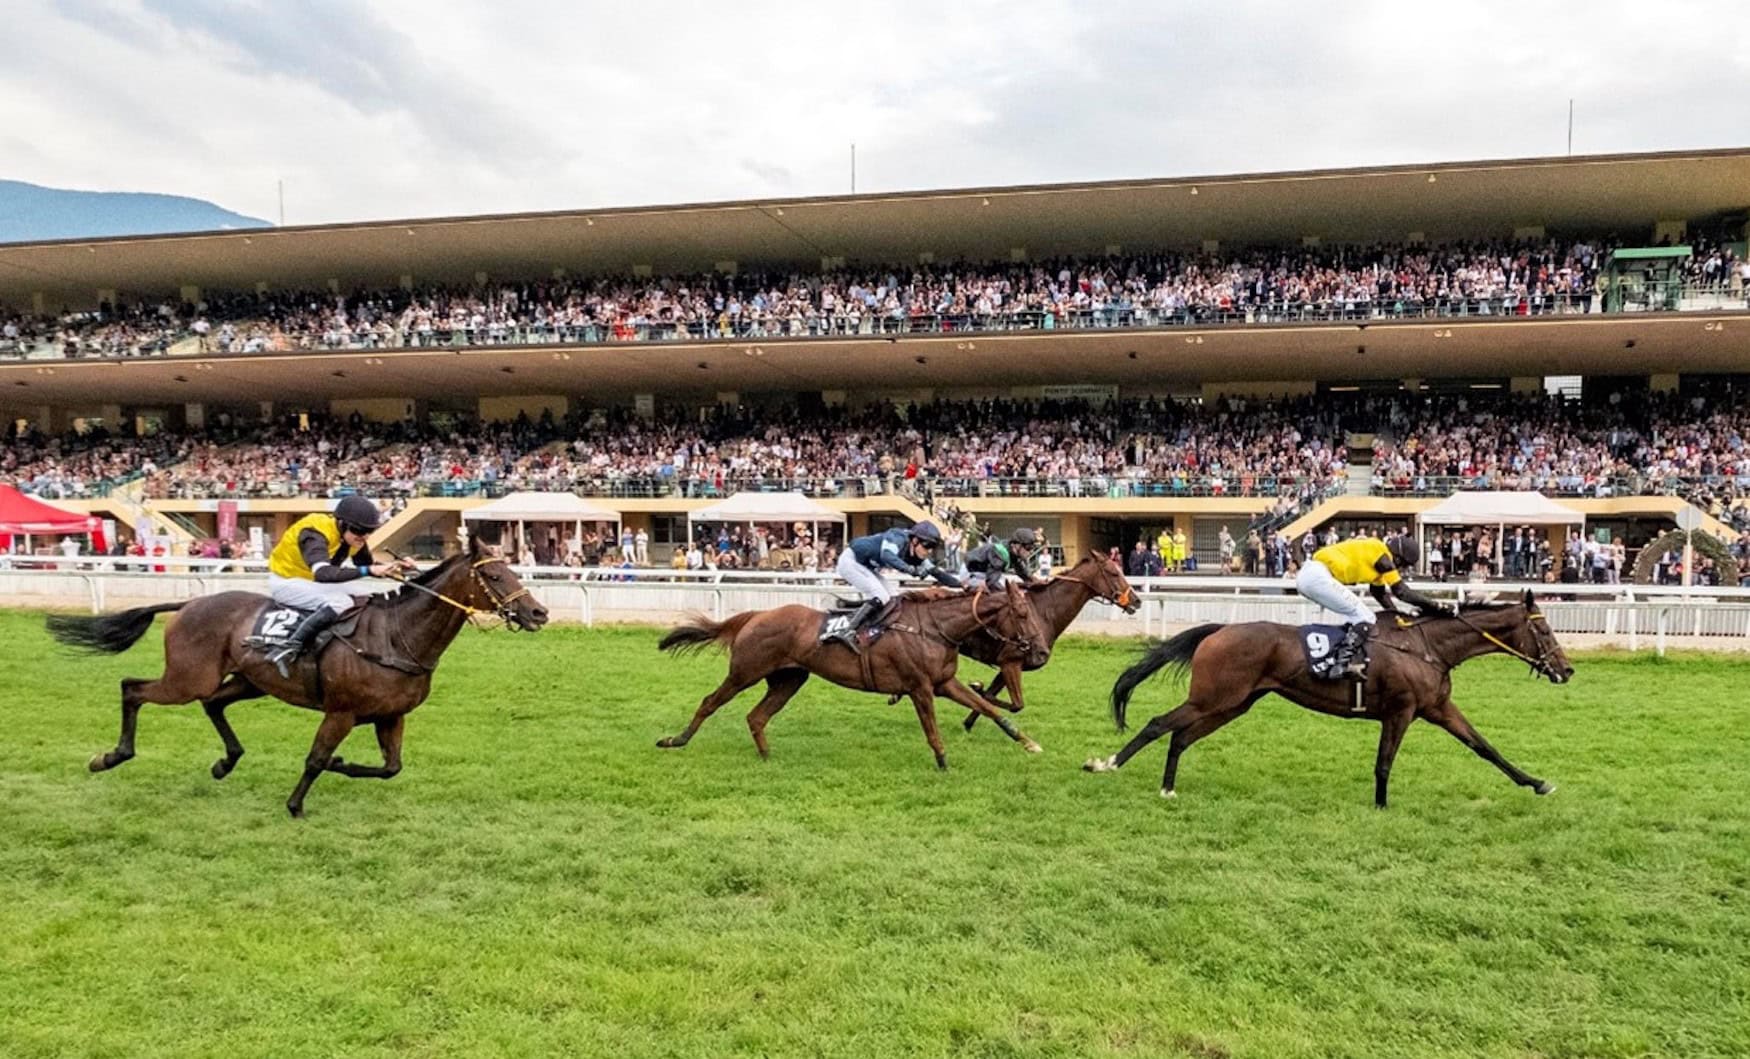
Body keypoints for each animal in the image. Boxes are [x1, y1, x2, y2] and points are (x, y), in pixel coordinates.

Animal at [46, 535, 546, 819]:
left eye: (511, 570)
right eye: (495, 576)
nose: (538, 612)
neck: (395, 636)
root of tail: (189, 603)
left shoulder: (391, 716)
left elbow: (390, 768)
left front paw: (344, 764)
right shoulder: (341, 712)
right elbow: (315, 759)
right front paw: (296, 804)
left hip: (248, 681)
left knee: (213, 703)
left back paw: (226, 761)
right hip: (189, 679)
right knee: (133, 688)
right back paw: (111, 756)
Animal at [654, 577, 1036, 766]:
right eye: (1022, 613)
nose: (1034, 645)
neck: (932, 628)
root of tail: (756, 615)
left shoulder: (944, 682)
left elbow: (986, 707)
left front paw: (1028, 742)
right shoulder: (920, 687)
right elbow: (931, 728)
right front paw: (942, 761)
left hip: (788, 679)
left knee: (756, 717)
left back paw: (767, 758)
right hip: (744, 672)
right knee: (710, 702)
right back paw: (675, 740)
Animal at [966, 553, 1141, 728]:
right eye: (1114, 573)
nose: (1137, 601)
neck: (1042, 612)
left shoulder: (1010, 665)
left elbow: (990, 697)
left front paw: (968, 722)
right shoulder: (1010, 661)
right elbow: (1011, 703)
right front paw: (977, 689)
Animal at [1078, 591, 1575, 805]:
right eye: (1547, 631)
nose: (1567, 669)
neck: (1427, 647)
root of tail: (1219, 629)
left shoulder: (1437, 708)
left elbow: (1485, 748)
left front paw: (1537, 783)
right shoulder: (1401, 711)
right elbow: (1384, 762)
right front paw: (1381, 805)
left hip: (1233, 703)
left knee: (1181, 735)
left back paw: (1168, 786)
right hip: (1215, 697)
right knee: (1159, 723)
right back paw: (1106, 763)